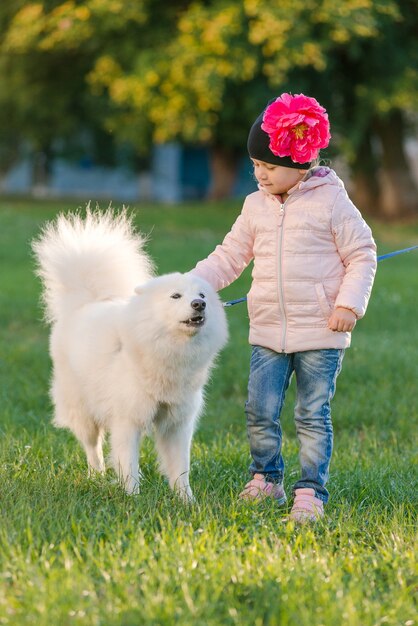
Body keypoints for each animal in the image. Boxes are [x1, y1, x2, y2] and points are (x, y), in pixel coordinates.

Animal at [32, 210, 227, 498]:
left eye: (202, 294)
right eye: (176, 296)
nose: (199, 304)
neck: (166, 349)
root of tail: (85, 303)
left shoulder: (178, 423)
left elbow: (180, 467)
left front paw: (186, 500)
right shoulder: (127, 420)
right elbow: (129, 463)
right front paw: (132, 497)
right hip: (82, 410)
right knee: (93, 448)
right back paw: (96, 476)